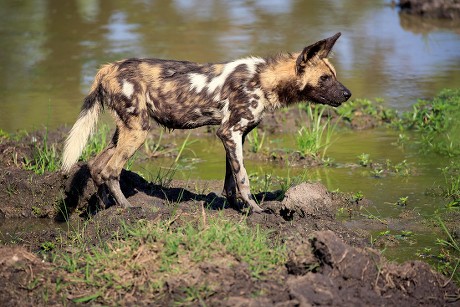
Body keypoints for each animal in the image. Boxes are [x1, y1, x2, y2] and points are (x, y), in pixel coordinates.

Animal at [60, 31, 348, 214]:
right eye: (324, 78)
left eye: (334, 75)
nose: (348, 94)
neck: (264, 79)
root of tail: (107, 68)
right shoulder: (230, 132)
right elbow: (243, 179)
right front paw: (256, 210)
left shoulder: (236, 136)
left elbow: (231, 181)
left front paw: (236, 208)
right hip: (138, 132)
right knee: (111, 170)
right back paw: (128, 209)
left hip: (126, 130)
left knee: (97, 166)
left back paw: (103, 208)